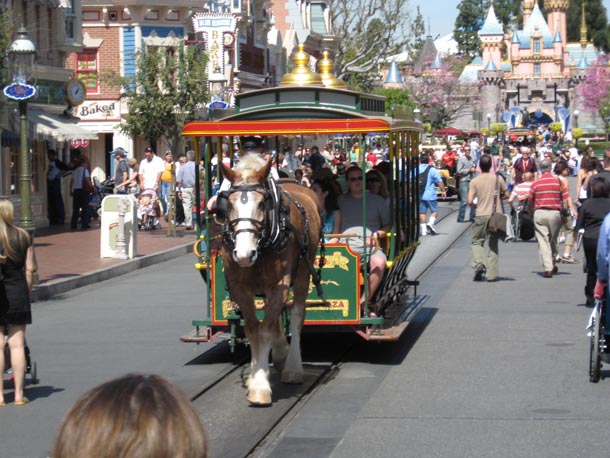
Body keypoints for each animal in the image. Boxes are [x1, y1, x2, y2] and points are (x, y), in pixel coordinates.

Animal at [218, 154, 324, 404]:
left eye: (261, 203)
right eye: (229, 204)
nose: (244, 254)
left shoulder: (280, 285)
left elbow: (265, 330)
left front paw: (260, 388)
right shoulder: (240, 288)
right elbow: (253, 329)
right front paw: (255, 375)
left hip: (303, 272)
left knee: (296, 315)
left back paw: (292, 368)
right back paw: (279, 355)